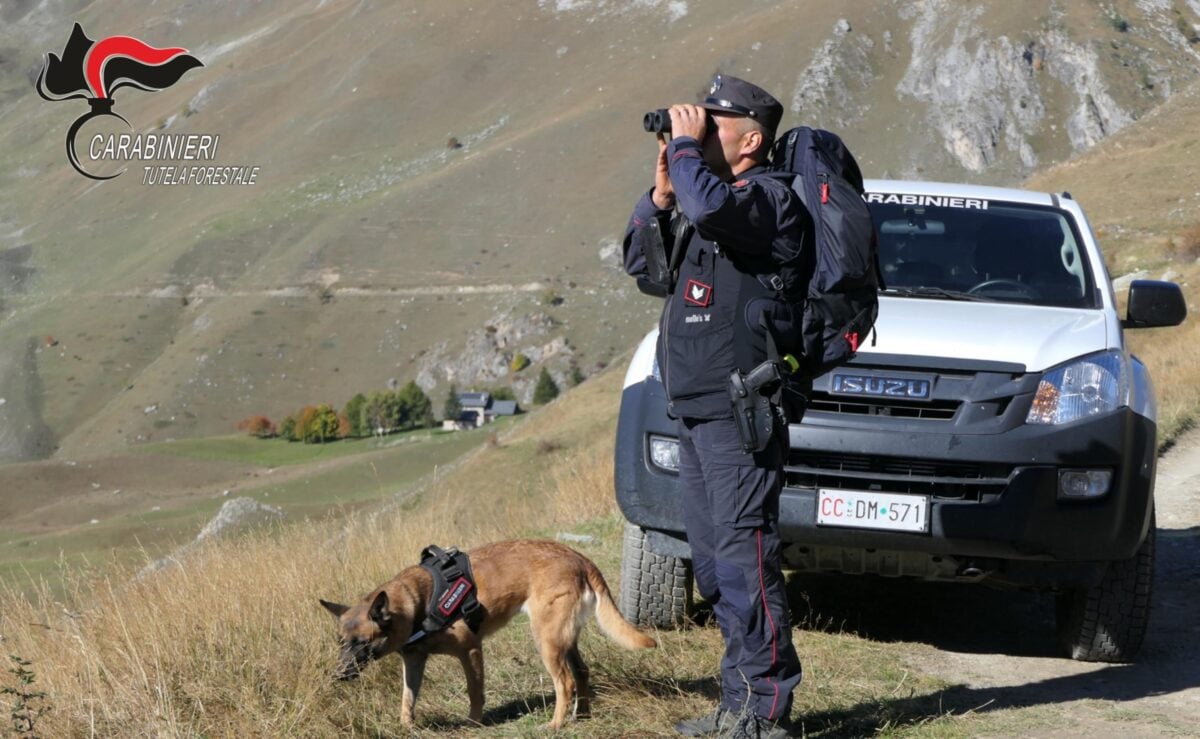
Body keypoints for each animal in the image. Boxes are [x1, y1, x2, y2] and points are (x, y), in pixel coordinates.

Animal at [319, 537, 657, 729]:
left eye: (363, 644)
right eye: (340, 643)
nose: (338, 675)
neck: (417, 604)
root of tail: (578, 558)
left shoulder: (470, 651)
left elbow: (474, 691)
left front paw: (473, 723)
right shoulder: (414, 662)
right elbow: (407, 697)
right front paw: (405, 726)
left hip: (547, 641)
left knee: (566, 682)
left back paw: (555, 725)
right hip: (563, 639)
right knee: (582, 673)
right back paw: (581, 715)